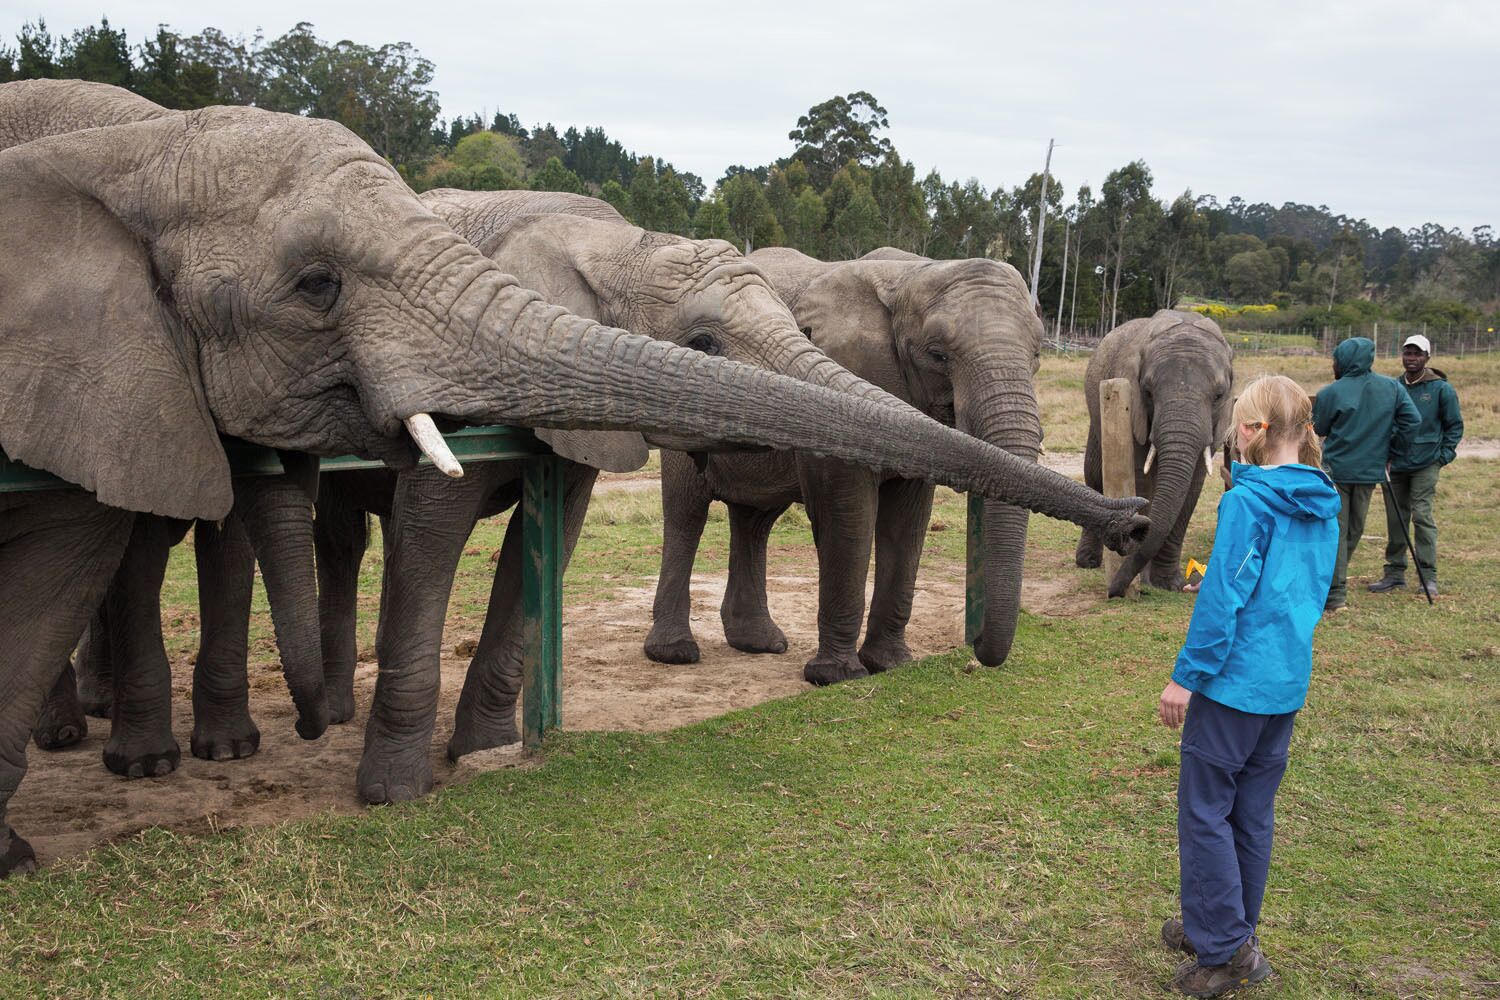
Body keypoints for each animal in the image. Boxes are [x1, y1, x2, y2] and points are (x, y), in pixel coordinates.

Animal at [645, 247, 1047, 683]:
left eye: (1037, 355)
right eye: (938, 354)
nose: (975, 644)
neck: (911, 273)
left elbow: (907, 522)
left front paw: (890, 664)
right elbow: (848, 518)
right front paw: (836, 676)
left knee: (754, 521)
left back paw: (759, 644)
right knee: (687, 515)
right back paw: (674, 652)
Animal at [1074, 310, 1234, 597]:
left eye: (1219, 396)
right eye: (1147, 391)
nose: (1113, 592)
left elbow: (1191, 489)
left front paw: (1169, 584)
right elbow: (1142, 480)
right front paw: (1145, 580)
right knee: (1093, 475)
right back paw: (1087, 562)